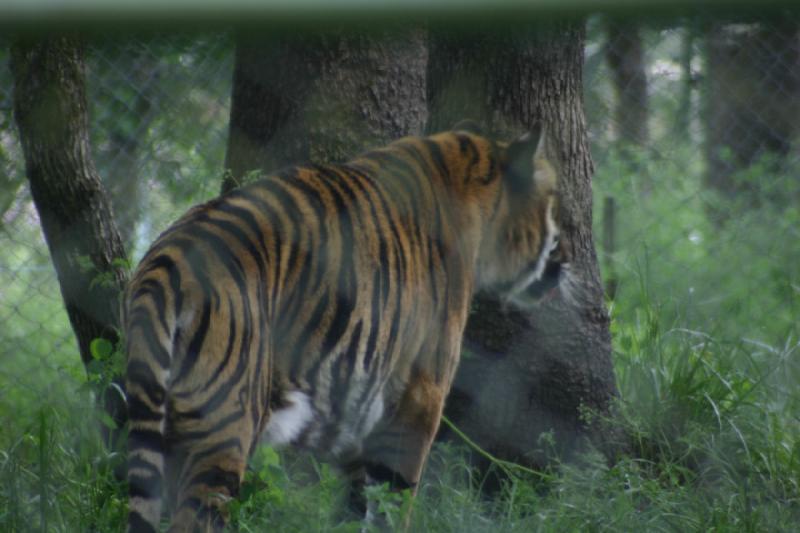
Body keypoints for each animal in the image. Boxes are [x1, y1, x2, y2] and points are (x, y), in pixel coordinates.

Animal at [123, 122, 564, 528]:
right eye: (551, 204)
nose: (564, 257)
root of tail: (168, 264)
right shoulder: (423, 392)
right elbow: (396, 498)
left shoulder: (356, 406)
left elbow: (355, 503)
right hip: (225, 428)